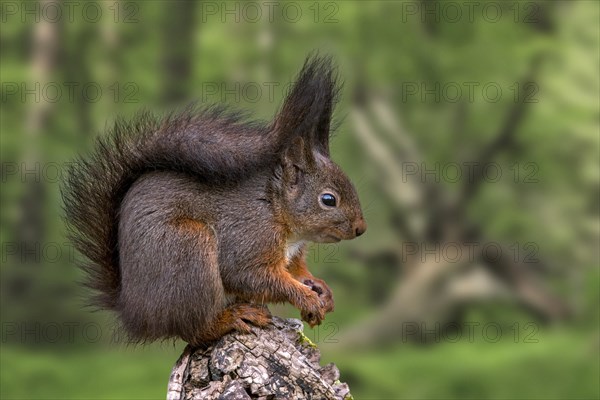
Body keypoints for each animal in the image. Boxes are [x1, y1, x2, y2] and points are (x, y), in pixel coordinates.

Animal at [63, 54, 368, 346]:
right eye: (328, 199)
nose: (360, 229)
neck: (274, 207)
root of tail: (135, 313)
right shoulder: (248, 236)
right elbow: (251, 276)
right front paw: (305, 298)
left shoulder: (291, 254)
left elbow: (294, 270)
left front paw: (321, 289)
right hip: (188, 249)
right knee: (195, 330)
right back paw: (231, 318)